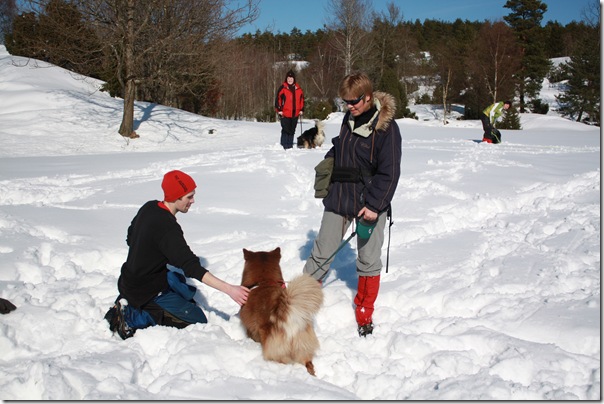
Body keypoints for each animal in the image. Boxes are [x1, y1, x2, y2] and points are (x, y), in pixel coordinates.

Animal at [238, 248, 324, 378]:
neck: (264, 281)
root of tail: (288, 317)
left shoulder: (251, 329)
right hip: (303, 348)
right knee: (309, 364)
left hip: (276, 352)